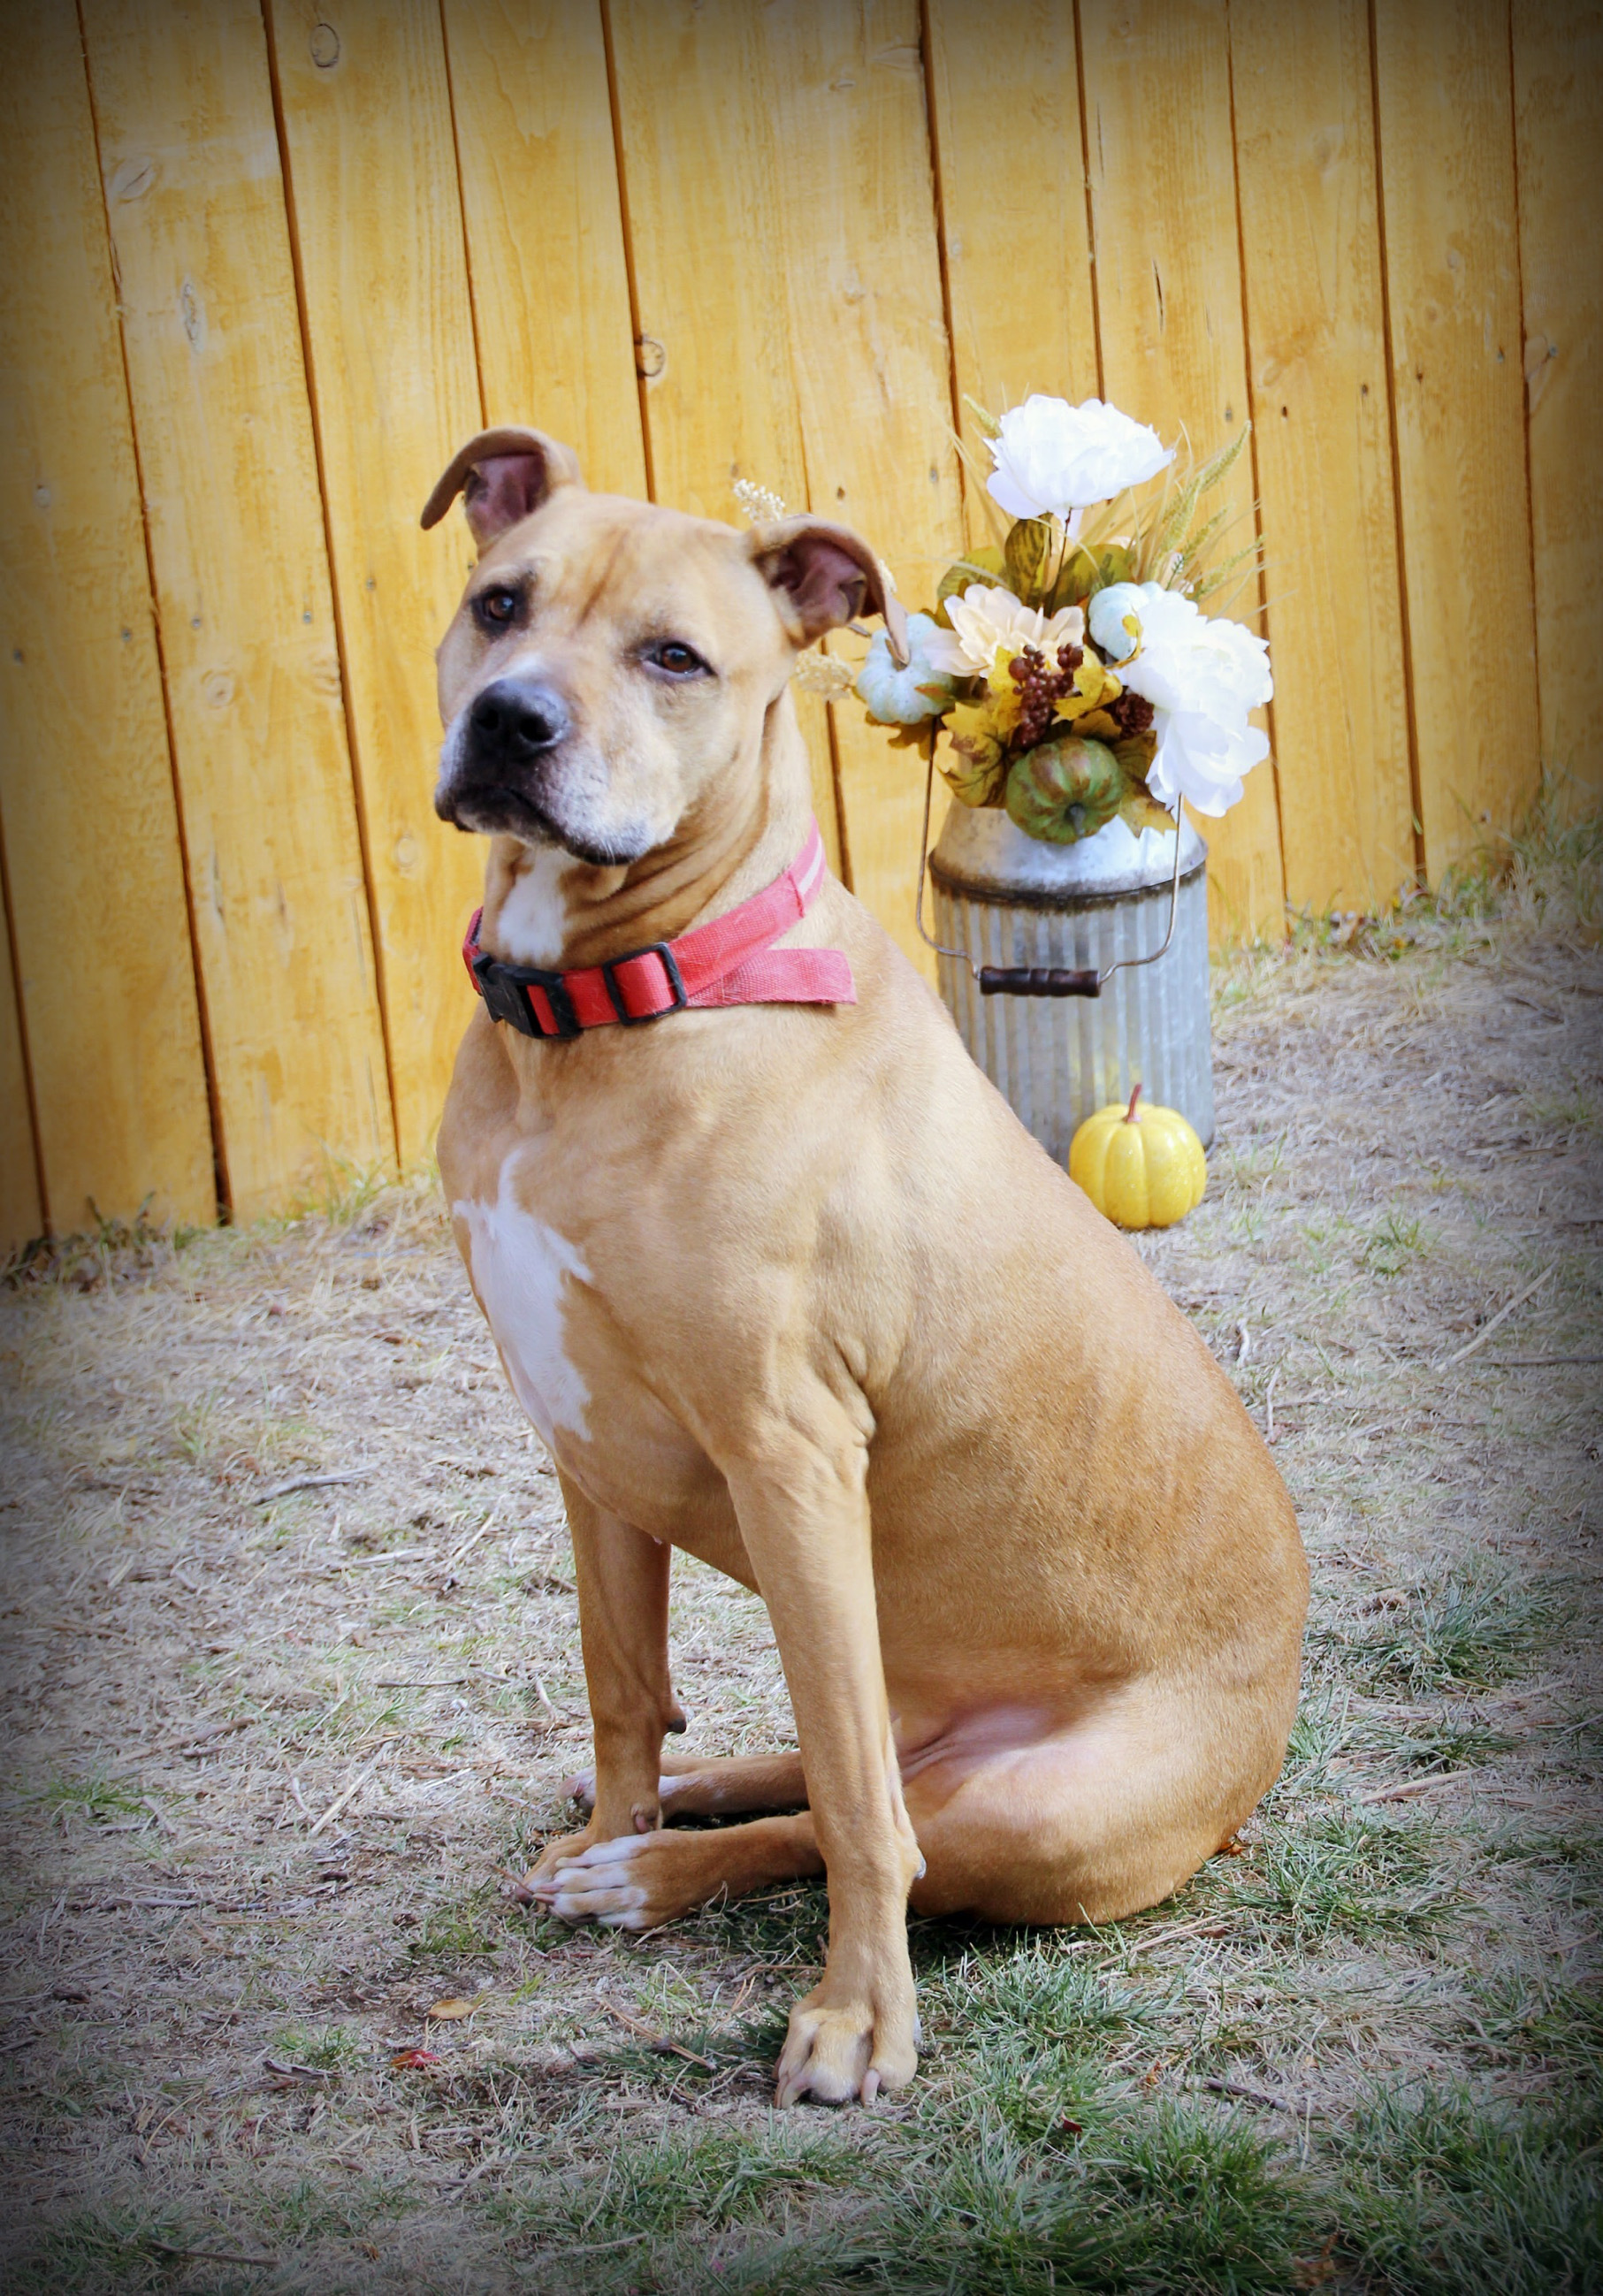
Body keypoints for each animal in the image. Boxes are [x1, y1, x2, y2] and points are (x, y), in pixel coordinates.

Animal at [417, 427, 1304, 2102]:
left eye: (675, 656)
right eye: (500, 603)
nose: (510, 720)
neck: (627, 1000)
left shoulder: (790, 1454)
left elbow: (849, 1817)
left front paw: (854, 2019)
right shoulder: (586, 1449)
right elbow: (621, 1687)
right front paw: (619, 1809)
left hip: (1031, 1792)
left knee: (877, 1811)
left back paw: (671, 1869)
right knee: (831, 1768)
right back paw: (666, 1815)